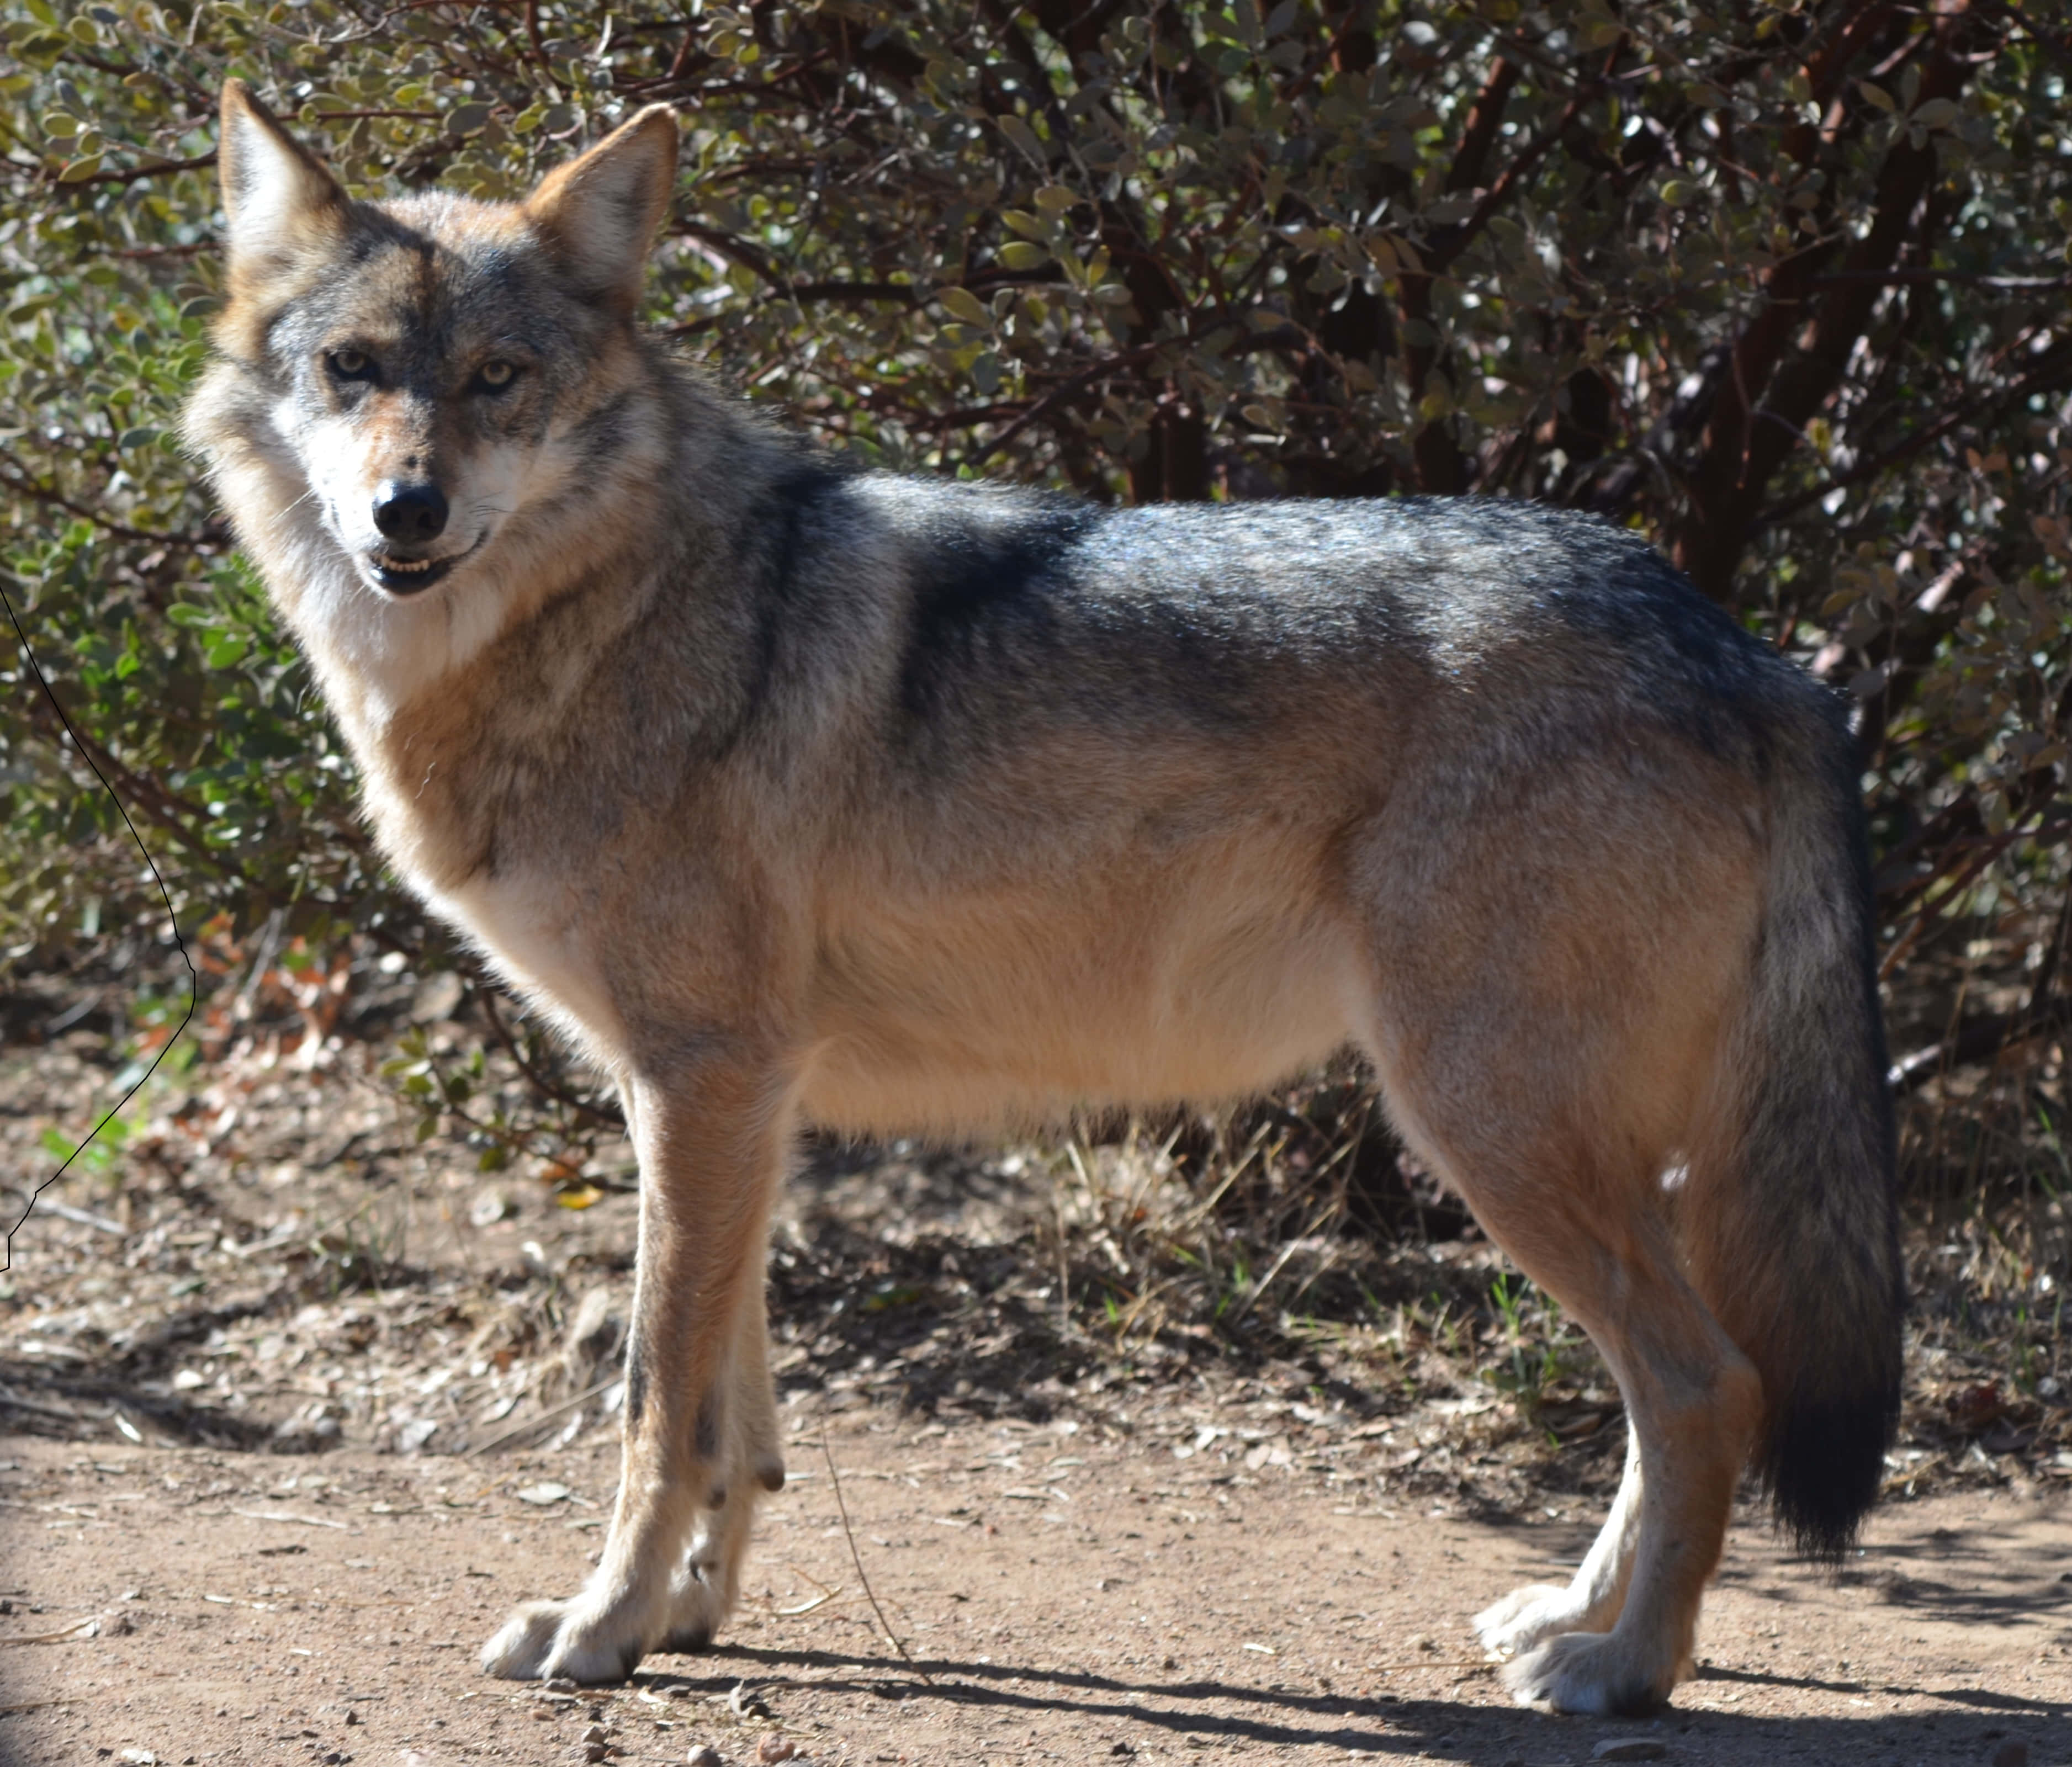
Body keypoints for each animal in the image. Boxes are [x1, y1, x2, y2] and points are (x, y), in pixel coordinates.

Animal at [183, 81, 1904, 1715]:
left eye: (497, 379)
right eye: (353, 370)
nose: (406, 512)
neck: (605, 621)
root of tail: (1755, 653)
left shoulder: (703, 1080)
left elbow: (652, 1406)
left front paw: (602, 1631)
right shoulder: (726, 1098)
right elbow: (734, 1413)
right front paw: (684, 1615)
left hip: (1483, 1123)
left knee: (1708, 1386)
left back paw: (1626, 1670)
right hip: (1547, 1141)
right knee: (1673, 1393)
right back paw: (1573, 1619)